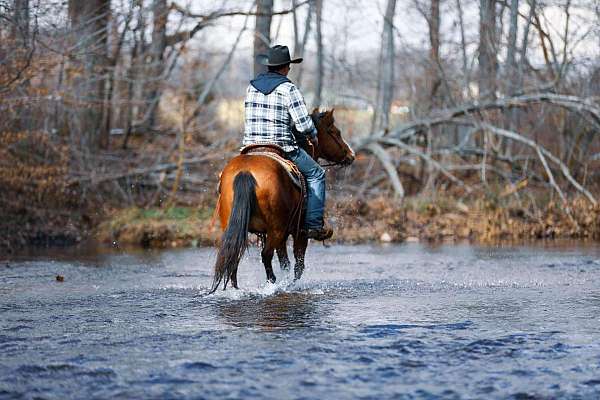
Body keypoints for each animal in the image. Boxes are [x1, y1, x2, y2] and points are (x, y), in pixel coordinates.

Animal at [209, 109, 354, 294]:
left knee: (233, 256)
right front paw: (289, 284)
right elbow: (297, 265)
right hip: (276, 230)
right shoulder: (298, 232)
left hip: (237, 228)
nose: (351, 155)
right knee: (266, 255)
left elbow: (285, 262)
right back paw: (272, 283)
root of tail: (245, 172)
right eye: (335, 132)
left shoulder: (283, 234)